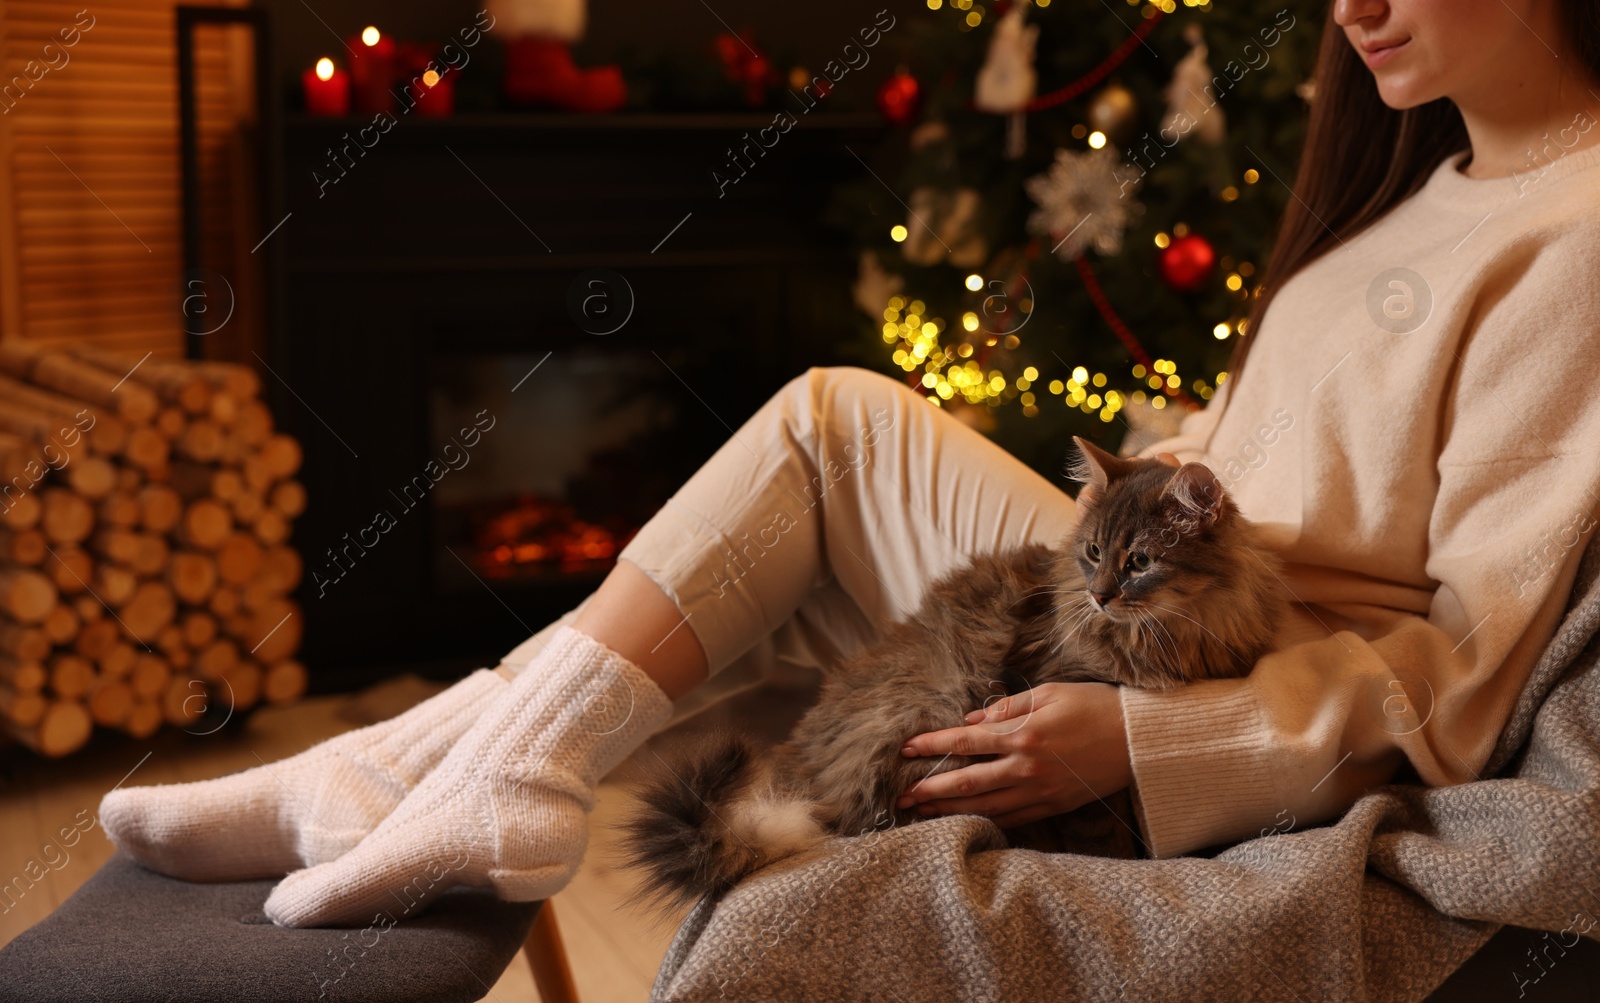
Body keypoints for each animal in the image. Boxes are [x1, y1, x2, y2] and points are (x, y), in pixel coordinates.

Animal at [624, 438, 1286, 902]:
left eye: (1141, 562)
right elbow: (1104, 837)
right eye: (1094, 552)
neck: (1171, 634)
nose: (1099, 596)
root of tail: (808, 790)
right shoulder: (1077, 758)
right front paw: (1115, 865)